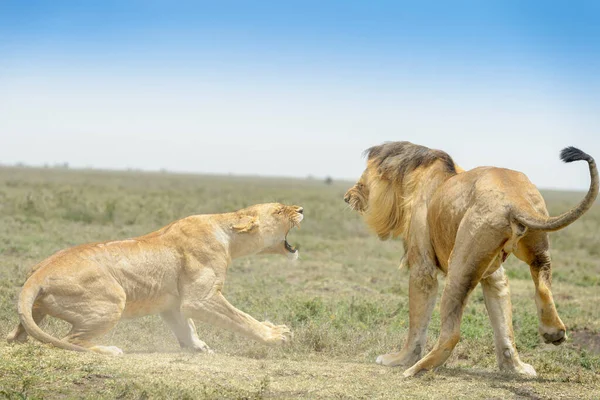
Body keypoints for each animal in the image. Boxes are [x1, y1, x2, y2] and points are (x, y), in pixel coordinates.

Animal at [6, 205, 302, 354]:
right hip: (114, 299)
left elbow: (186, 325)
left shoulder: (173, 302)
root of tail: (39, 273)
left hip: (37, 311)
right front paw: (277, 335)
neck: (227, 235)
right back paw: (110, 350)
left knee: (17, 335)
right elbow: (240, 318)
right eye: (278, 211)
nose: (300, 209)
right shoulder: (201, 299)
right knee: (71, 340)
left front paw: (197, 346)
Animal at [344, 142, 596, 376]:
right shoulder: (493, 273)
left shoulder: (422, 267)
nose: (347, 197)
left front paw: (399, 359)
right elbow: (502, 317)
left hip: (460, 265)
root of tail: (516, 200)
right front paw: (513, 366)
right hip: (532, 247)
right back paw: (541, 344)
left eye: (363, 180)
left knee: (451, 333)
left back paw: (417, 369)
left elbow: (417, 322)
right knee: (541, 282)